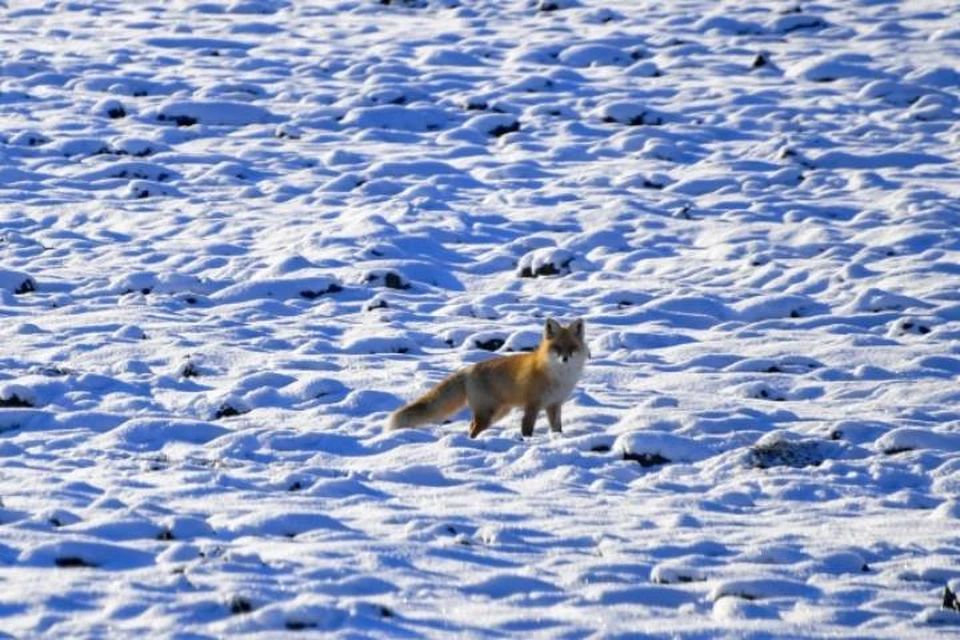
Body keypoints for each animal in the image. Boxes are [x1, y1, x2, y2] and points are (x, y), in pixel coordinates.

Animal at [384, 318, 584, 438]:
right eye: (557, 348)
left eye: (572, 348)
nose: (565, 359)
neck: (558, 376)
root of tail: (468, 369)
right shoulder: (532, 405)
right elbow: (527, 428)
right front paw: (527, 440)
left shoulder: (554, 404)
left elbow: (557, 428)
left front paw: (558, 439)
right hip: (489, 412)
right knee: (473, 427)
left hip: (499, 412)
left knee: (471, 426)